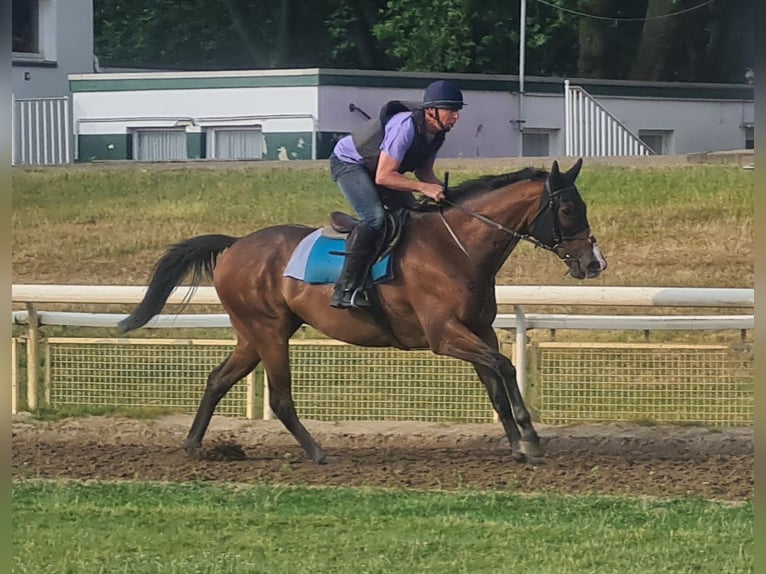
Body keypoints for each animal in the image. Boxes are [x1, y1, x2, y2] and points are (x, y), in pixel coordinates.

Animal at [119, 158, 607, 465]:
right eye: (567, 208)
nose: (594, 263)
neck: (457, 247)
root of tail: (236, 244)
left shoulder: (478, 330)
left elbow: (495, 382)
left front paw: (518, 445)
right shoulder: (444, 335)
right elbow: (505, 366)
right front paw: (532, 438)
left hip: (254, 334)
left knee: (218, 379)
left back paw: (193, 444)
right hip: (269, 331)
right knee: (279, 398)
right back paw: (318, 453)